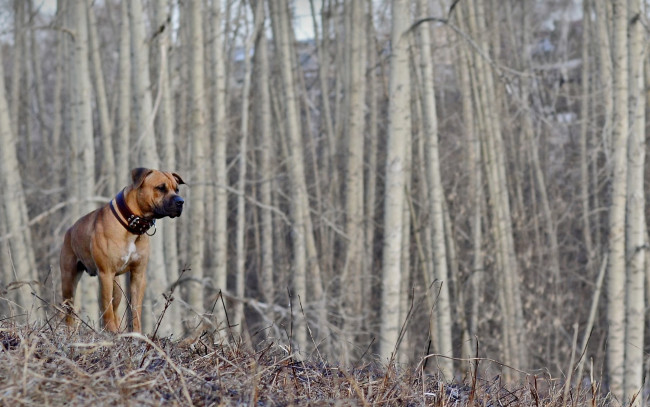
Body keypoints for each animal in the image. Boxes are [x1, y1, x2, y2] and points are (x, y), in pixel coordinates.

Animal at [59, 167, 185, 334]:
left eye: (177, 189)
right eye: (160, 188)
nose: (181, 201)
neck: (131, 224)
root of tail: (70, 230)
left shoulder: (138, 275)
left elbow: (135, 309)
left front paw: (136, 333)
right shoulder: (105, 274)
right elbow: (106, 308)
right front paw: (110, 332)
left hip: (116, 287)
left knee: (116, 309)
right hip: (69, 281)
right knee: (70, 311)